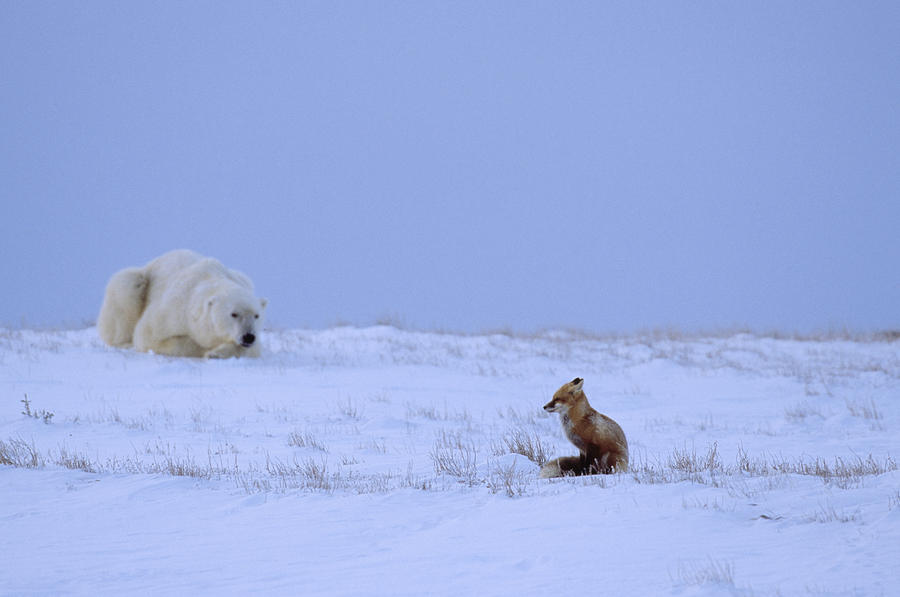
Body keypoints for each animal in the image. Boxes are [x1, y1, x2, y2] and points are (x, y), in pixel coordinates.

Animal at [99, 248, 268, 358]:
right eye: (234, 314)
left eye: (256, 315)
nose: (248, 336)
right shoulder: (173, 309)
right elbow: (148, 335)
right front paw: (207, 351)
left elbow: (252, 350)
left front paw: (217, 353)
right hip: (137, 282)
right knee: (126, 286)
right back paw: (125, 343)